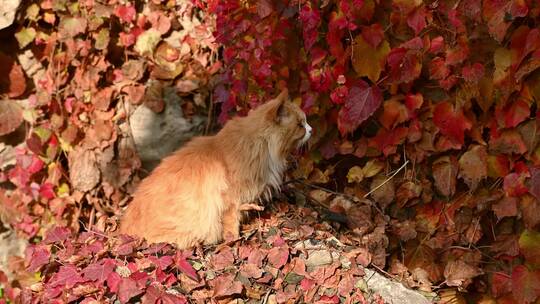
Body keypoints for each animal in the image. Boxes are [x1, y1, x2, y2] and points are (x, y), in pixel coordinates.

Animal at [119, 89, 312, 248]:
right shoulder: (230, 200)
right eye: (300, 124)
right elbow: (231, 225)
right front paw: (234, 241)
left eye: (304, 122)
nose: (311, 129)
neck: (260, 145)